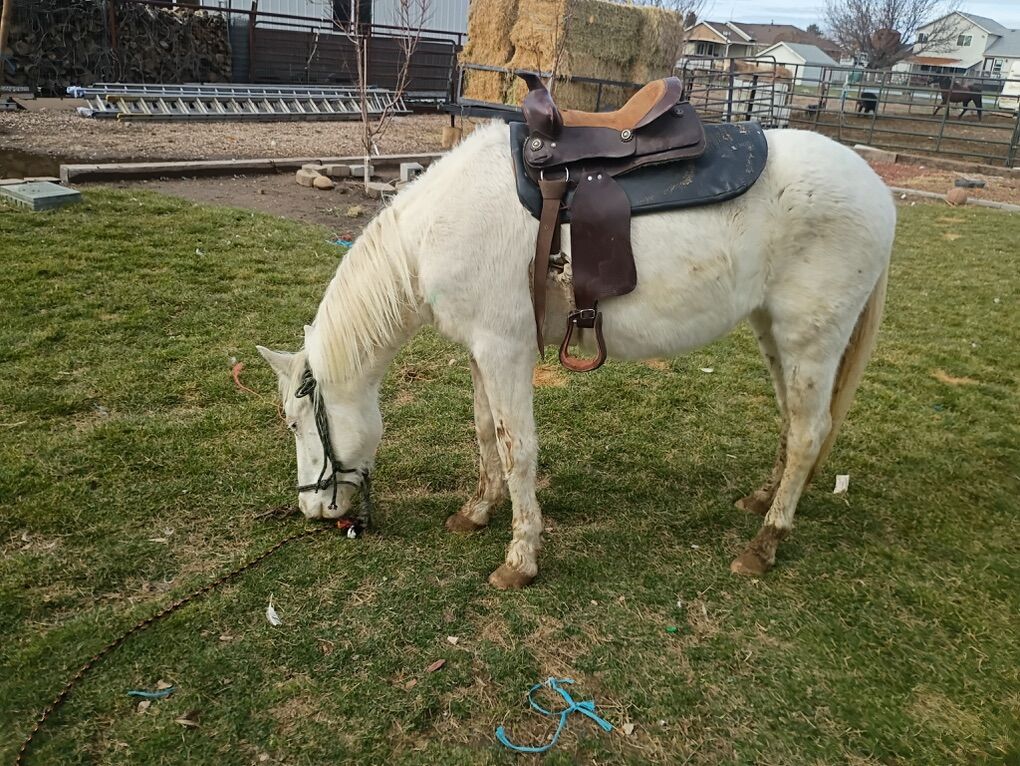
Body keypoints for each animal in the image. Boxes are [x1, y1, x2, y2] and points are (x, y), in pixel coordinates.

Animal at [257, 123, 896, 589]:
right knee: (792, 422)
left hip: (810, 341)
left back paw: (765, 543)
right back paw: (763, 499)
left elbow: (516, 449)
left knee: (810, 433)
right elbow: (485, 432)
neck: (436, 229)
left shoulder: (505, 350)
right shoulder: (481, 351)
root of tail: (878, 190)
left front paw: (520, 558)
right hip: (774, 333)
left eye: (294, 422)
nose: (314, 513)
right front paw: (477, 511)